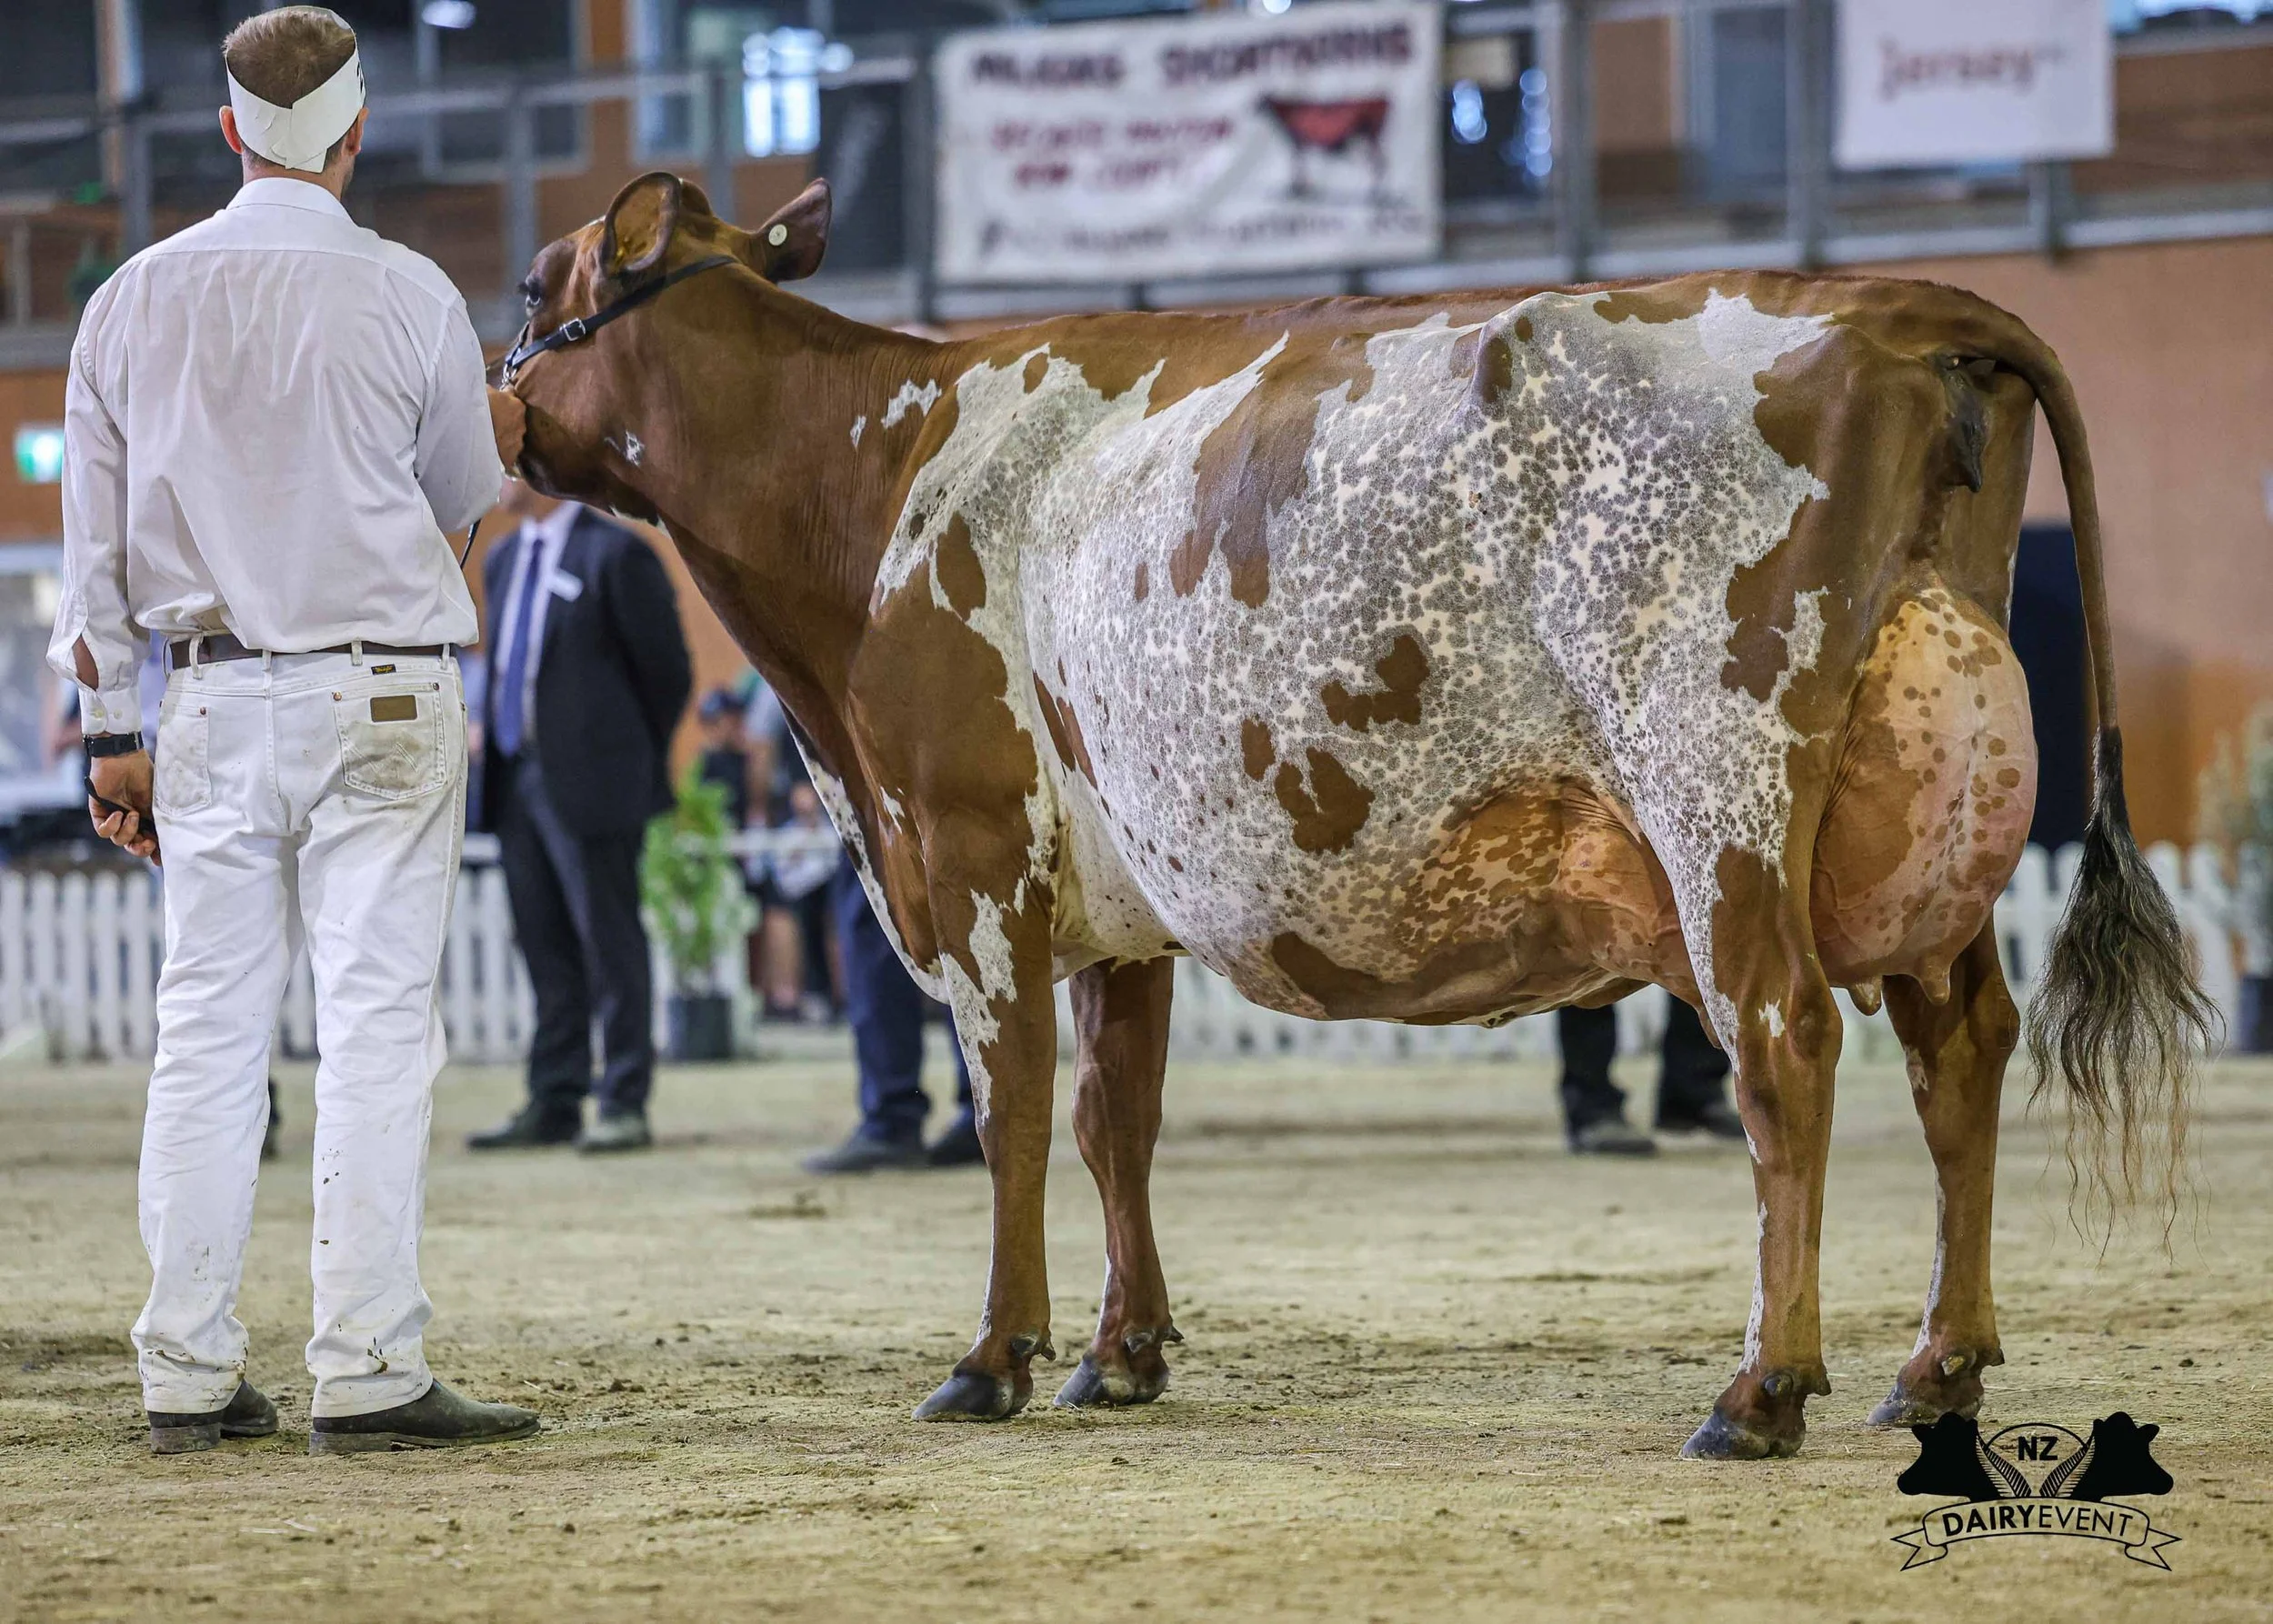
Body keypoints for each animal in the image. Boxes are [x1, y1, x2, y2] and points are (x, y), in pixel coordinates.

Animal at [499, 172, 2213, 1459]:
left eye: (527, 284)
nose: (496, 424)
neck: (882, 479)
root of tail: (1898, 303)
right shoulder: (1126, 901)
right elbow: (1118, 1116)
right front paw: (1124, 1350)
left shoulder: (971, 850)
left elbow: (1013, 1112)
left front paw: (994, 1355)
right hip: (1919, 807)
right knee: (1960, 1047)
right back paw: (1936, 1367)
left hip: (1719, 785)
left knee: (1785, 1043)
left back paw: (1760, 1389)